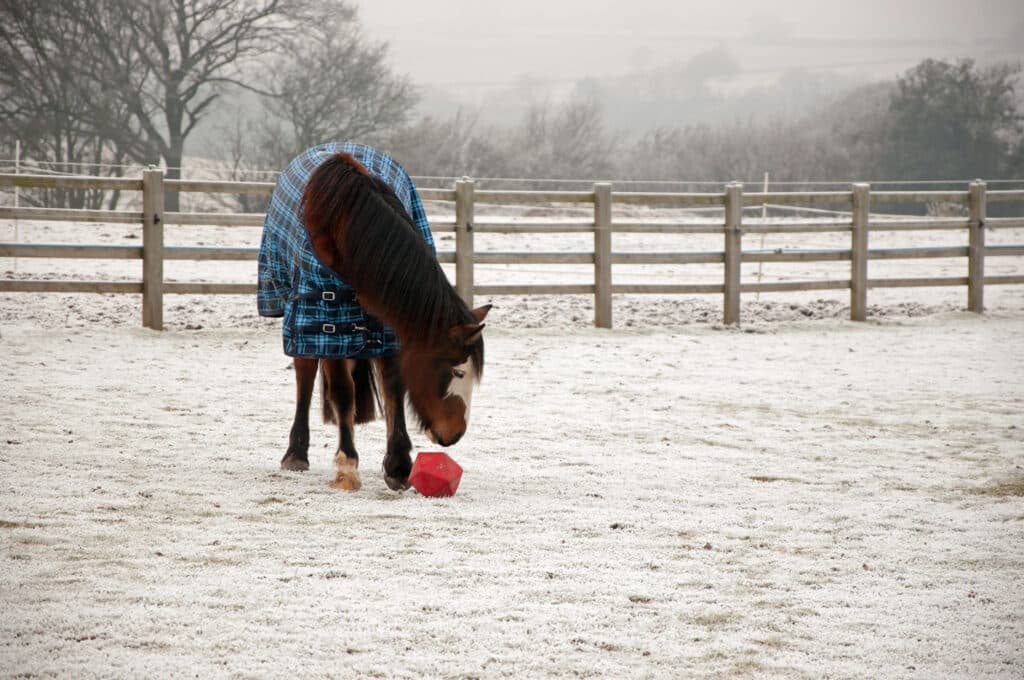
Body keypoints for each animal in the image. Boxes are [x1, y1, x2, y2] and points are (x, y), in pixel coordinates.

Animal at [257, 144, 489, 491]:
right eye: (457, 372)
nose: (456, 434)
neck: (346, 221)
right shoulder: (329, 323)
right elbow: (342, 392)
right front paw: (347, 468)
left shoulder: (389, 328)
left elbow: (394, 385)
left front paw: (398, 465)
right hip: (298, 313)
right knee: (305, 372)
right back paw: (296, 453)